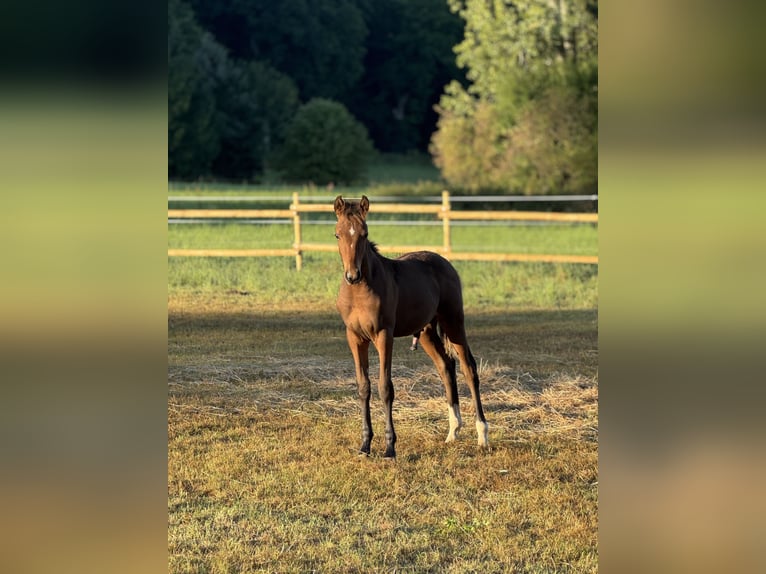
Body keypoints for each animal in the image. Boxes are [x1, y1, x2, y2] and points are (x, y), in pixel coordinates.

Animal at [333, 195, 489, 458]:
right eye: (337, 234)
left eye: (364, 234)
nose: (352, 276)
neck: (360, 292)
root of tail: (444, 262)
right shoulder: (354, 337)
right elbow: (364, 387)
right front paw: (365, 445)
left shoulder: (384, 335)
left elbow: (385, 387)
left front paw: (389, 447)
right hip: (426, 332)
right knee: (446, 366)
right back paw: (453, 432)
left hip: (454, 321)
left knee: (468, 368)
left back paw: (482, 435)